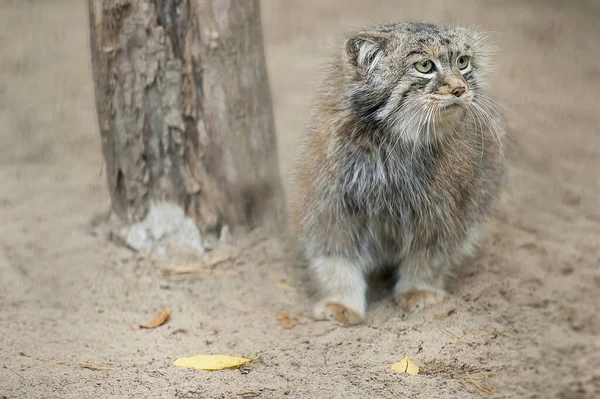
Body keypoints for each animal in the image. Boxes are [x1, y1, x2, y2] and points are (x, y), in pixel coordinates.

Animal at [290, 21, 506, 324]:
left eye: (463, 62)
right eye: (425, 66)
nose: (460, 89)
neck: (394, 144)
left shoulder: (445, 211)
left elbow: (429, 256)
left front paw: (418, 290)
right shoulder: (330, 203)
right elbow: (336, 257)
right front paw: (342, 301)